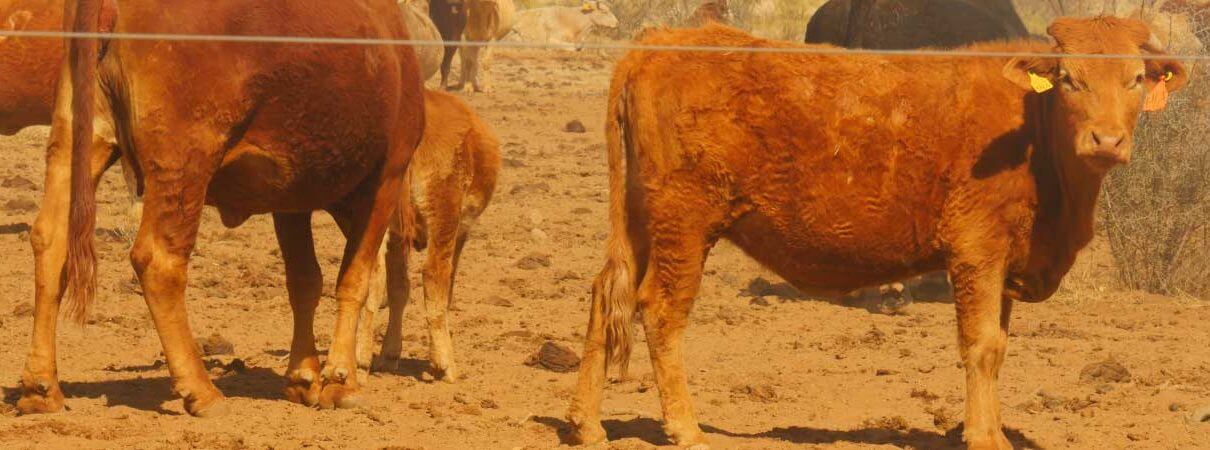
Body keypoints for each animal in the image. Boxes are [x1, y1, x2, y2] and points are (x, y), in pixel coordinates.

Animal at [18, 0, 425, 418]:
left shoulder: (290, 196)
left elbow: (305, 281)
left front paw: (303, 375)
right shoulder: (386, 179)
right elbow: (354, 279)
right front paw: (341, 380)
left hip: (78, 140)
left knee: (51, 241)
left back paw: (41, 386)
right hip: (184, 162)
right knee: (159, 261)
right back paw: (202, 390)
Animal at [353, 88, 500, 382]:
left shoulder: (398, 236)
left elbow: (398, 288)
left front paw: (389, 355)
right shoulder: (459, 233)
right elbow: (445, 290)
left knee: (371, 274)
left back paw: (360, 359)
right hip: (444, 215)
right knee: (433, 274)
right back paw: (445, 365)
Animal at [566, 16, 1190, 447]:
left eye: (1136, 79)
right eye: (1069, 80)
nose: (1106, 140)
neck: (1031, 129)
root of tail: (657, 43)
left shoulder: (1005, 259)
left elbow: (998, 345)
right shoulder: (977, 250)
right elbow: (983, 345)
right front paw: (985, 436)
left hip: (638, 222)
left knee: (606, 295)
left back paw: (588, 425)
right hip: (684, 223)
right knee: (660, 310)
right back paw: (687, 429)